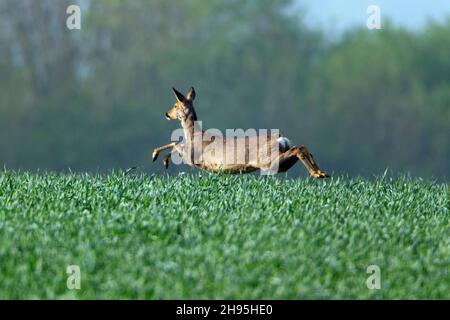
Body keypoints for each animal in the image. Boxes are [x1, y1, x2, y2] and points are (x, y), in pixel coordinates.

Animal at [153, 86, 328, 179]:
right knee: (301, 147)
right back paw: (322, 172)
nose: (167, 114)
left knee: (297, 149)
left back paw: (317, 174)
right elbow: (175, 143)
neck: (194, 134)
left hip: (268, 160)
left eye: (175, 105)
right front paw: (161, 159)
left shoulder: (192, 156)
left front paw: (159, 157)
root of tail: (281, 138)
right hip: (279, 163)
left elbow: (175, 144)